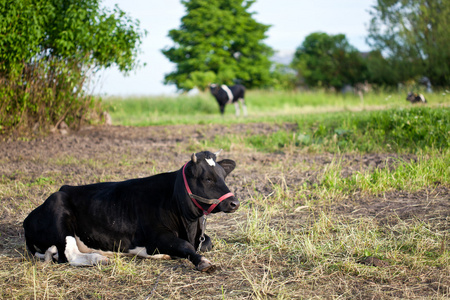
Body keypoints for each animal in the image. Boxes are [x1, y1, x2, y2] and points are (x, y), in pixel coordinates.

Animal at [22, 151, 241, 274]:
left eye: (223, 176)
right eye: (208, 179)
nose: (234, 203)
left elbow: (207, 242)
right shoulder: (156, 236)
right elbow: (184, 245)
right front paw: (202, 262)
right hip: (59, 215)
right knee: (69, 255)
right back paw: (99, 259)